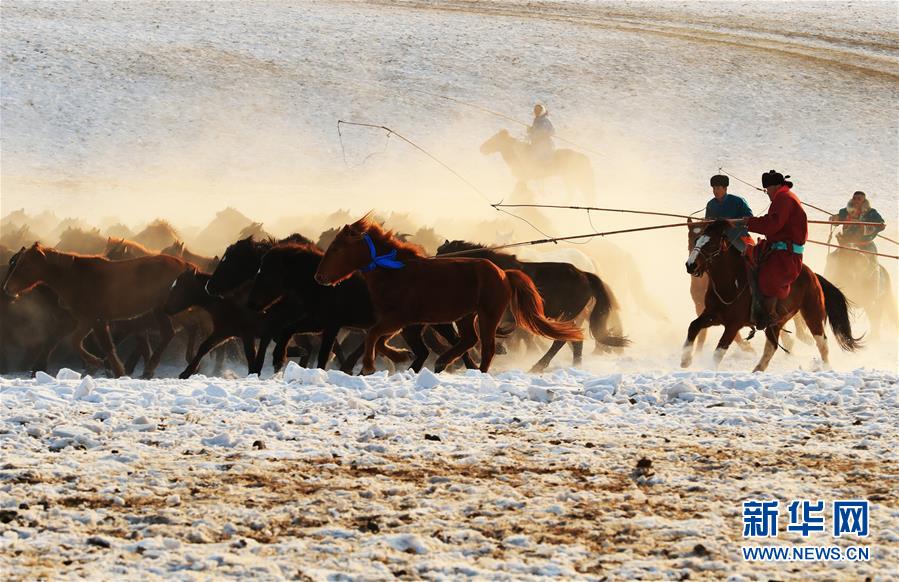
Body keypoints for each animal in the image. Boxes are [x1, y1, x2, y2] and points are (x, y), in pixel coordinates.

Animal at [1, 243, 187, 378]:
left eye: (25, 265)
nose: (7, 289)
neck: (76, 278)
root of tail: (184, 265)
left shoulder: (96, 320)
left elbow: (104, 346)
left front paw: (112, 369)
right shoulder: (86, 321)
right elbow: (77, 342)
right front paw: (102, 365)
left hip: (161, 311)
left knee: (168, 334)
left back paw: (150, 368)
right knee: (167, 334)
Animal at [315, 217, 583, 374]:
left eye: (336, 248)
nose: (318, 277)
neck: (395, 271)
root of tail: (503, 273)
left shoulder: (400, 319)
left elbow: (372, 336)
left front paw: (369, 366)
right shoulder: (403, 323)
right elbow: (379, 340)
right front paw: (401, 356)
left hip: (488, 315)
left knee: (486, 346)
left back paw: (476, 370)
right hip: (466, 316)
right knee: (468, 340)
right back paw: (443, 361)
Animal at [437, 240, 628, 371]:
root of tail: (585, 275)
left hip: (565, 315)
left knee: (562, 340)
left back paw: (538, 366)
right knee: (574, 340)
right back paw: (574, 365)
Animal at [683, 220, 861, 371]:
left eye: (711, 243)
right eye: (696, 240)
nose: (690, 265)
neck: (731, 282)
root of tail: (813, 275)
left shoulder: (733, 324)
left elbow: (719, 351)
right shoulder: (712, 314)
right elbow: (693, 326)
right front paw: (685, 360)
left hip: (813, 313)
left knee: (822, 343)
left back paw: (826, 368)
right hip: (777, 322)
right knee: (772, 346)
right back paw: (757, 370)